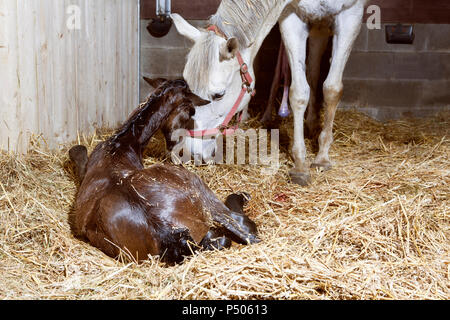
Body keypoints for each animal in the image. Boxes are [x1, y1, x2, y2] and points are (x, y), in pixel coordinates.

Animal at [70, 79, 260, 264]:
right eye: (191, 112)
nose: (173, 144)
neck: (121, 144)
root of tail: (164, 229)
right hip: (197, 187)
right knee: (240, 223)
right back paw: (242, 197)